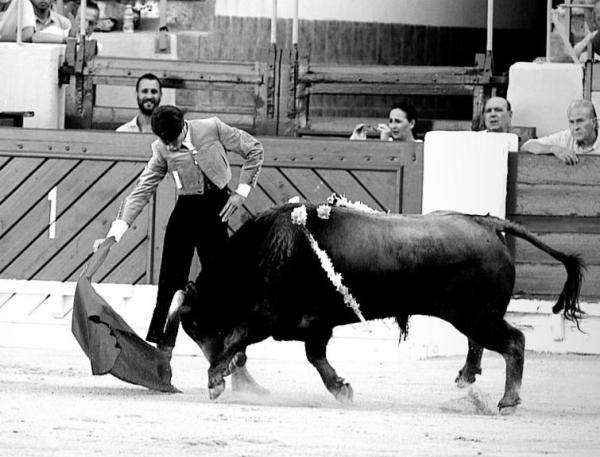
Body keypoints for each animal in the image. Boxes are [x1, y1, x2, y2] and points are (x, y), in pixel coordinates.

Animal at [164, 202, 584, 414]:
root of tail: (485, 222)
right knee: (481, 343)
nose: (217, 366)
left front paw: (215, 381)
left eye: (195, 324)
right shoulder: (316, 325)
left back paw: (507, 401)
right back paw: (467, 378)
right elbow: (316, 358)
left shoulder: (266, 316)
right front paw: (342, 389)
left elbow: (237, 336)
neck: (266, 249)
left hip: (477, 316)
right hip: (475, 316)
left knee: (514, 342)